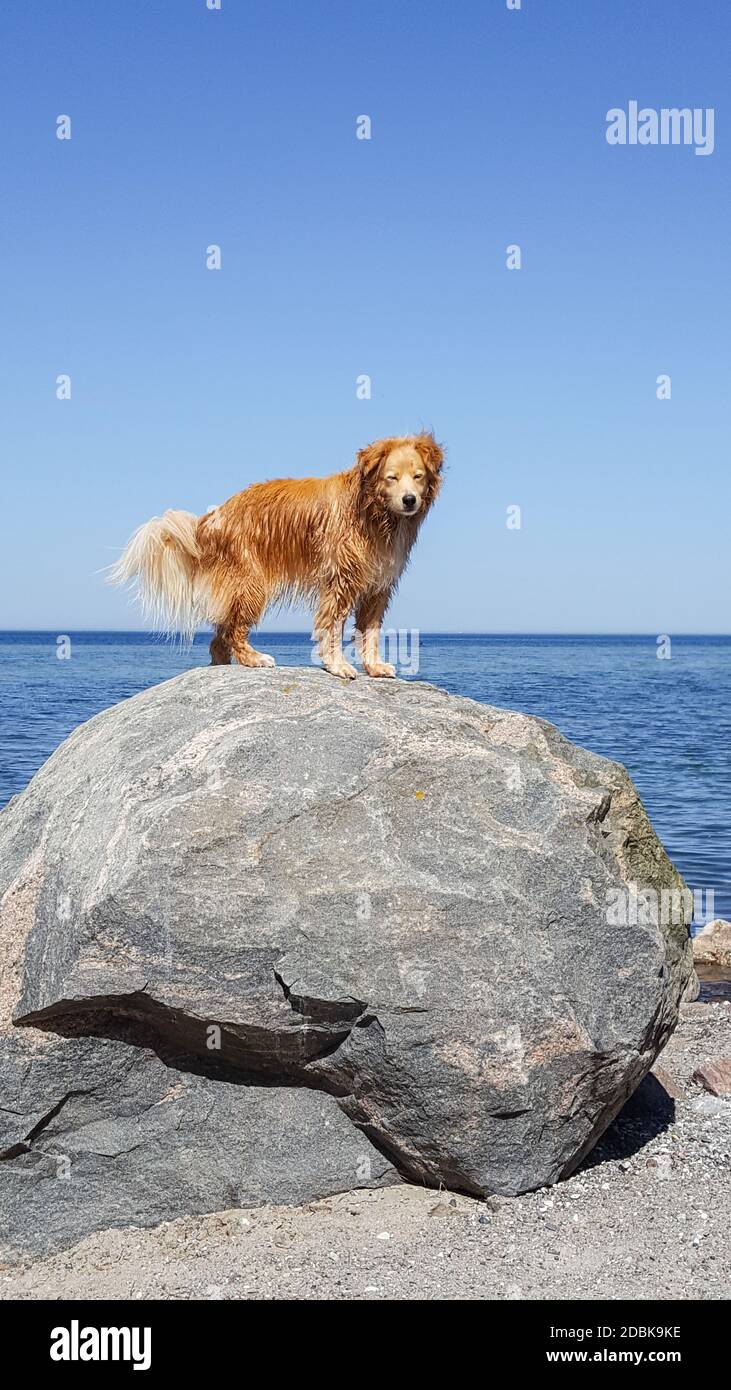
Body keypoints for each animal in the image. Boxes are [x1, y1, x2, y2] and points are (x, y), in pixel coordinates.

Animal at [113, 428, 447, 678]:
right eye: (392, 477)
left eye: (418, 476)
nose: (409, 500)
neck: (375, 514)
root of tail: (209, 519)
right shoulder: (339, 580)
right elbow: (332, 626)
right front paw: (338, 665)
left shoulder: (378, 586)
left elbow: (371, 630)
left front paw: (374, 666)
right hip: (251, 581)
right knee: (233, 630)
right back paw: (254, 658)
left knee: (219, 638)